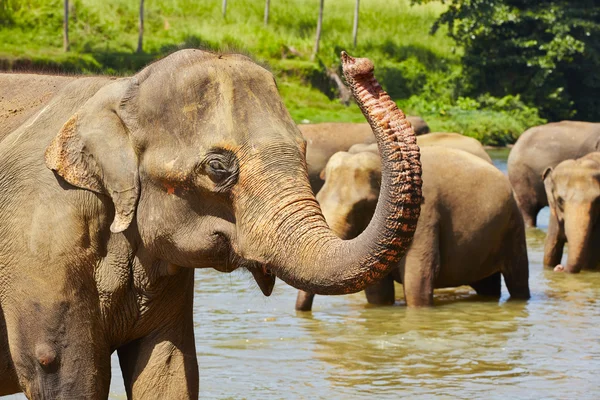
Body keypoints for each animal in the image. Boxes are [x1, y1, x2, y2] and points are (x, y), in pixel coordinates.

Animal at [296, 145, 528, 310]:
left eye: (360, 206)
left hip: (513, 225)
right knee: (487, 285)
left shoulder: (425, 217)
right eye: (318, 199)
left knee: (517, 279)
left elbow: (418, 278)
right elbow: (378, 292)